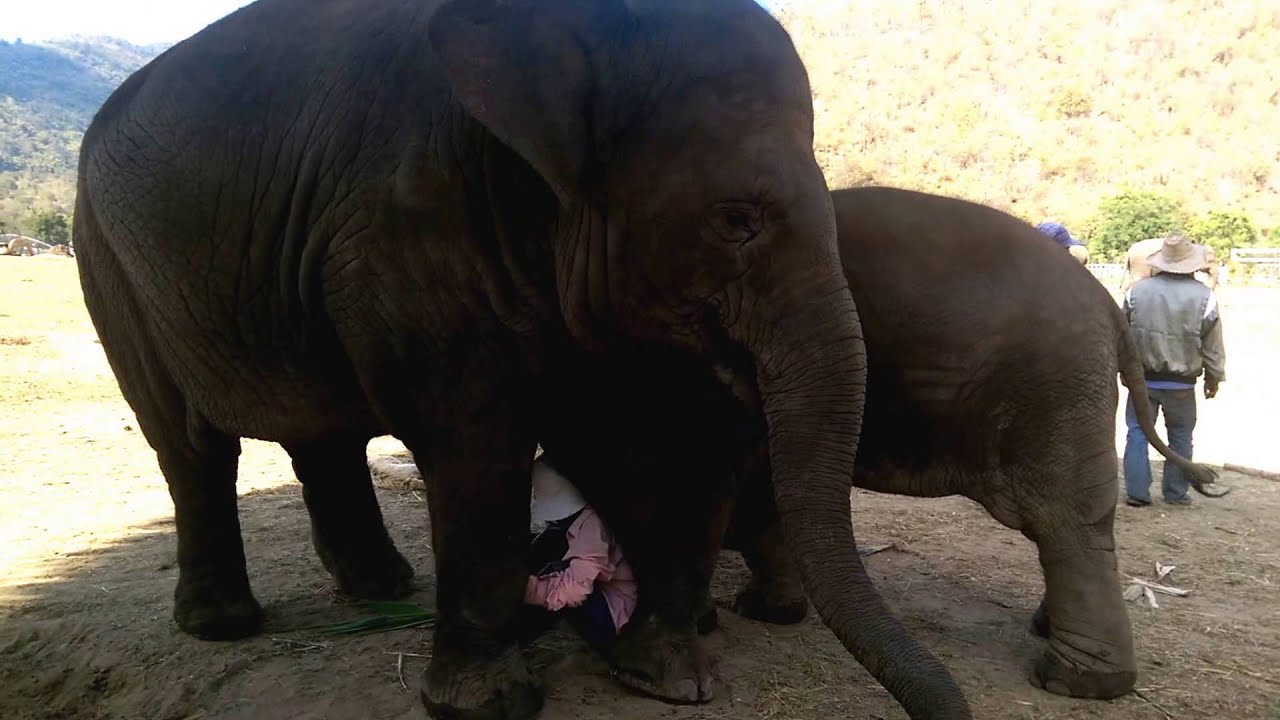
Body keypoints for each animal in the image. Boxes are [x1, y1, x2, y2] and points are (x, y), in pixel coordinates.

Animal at [71, 1, 969, 719]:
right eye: (735, 220)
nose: (948, 706)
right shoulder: (407, 224)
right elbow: (478, 440)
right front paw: (486, 705)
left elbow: (633, 439)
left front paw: (669, 682)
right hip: (108, 261)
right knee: (189, 444)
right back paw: (224, 624)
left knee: (322, 432)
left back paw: (380, 588)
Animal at [537, 185, 1225, 710]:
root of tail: (1111, 310)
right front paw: (765, 610)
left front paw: (729, 615)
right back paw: (1050, 635)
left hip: (1053, 387)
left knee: (1065, 525)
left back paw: (1074, 681)